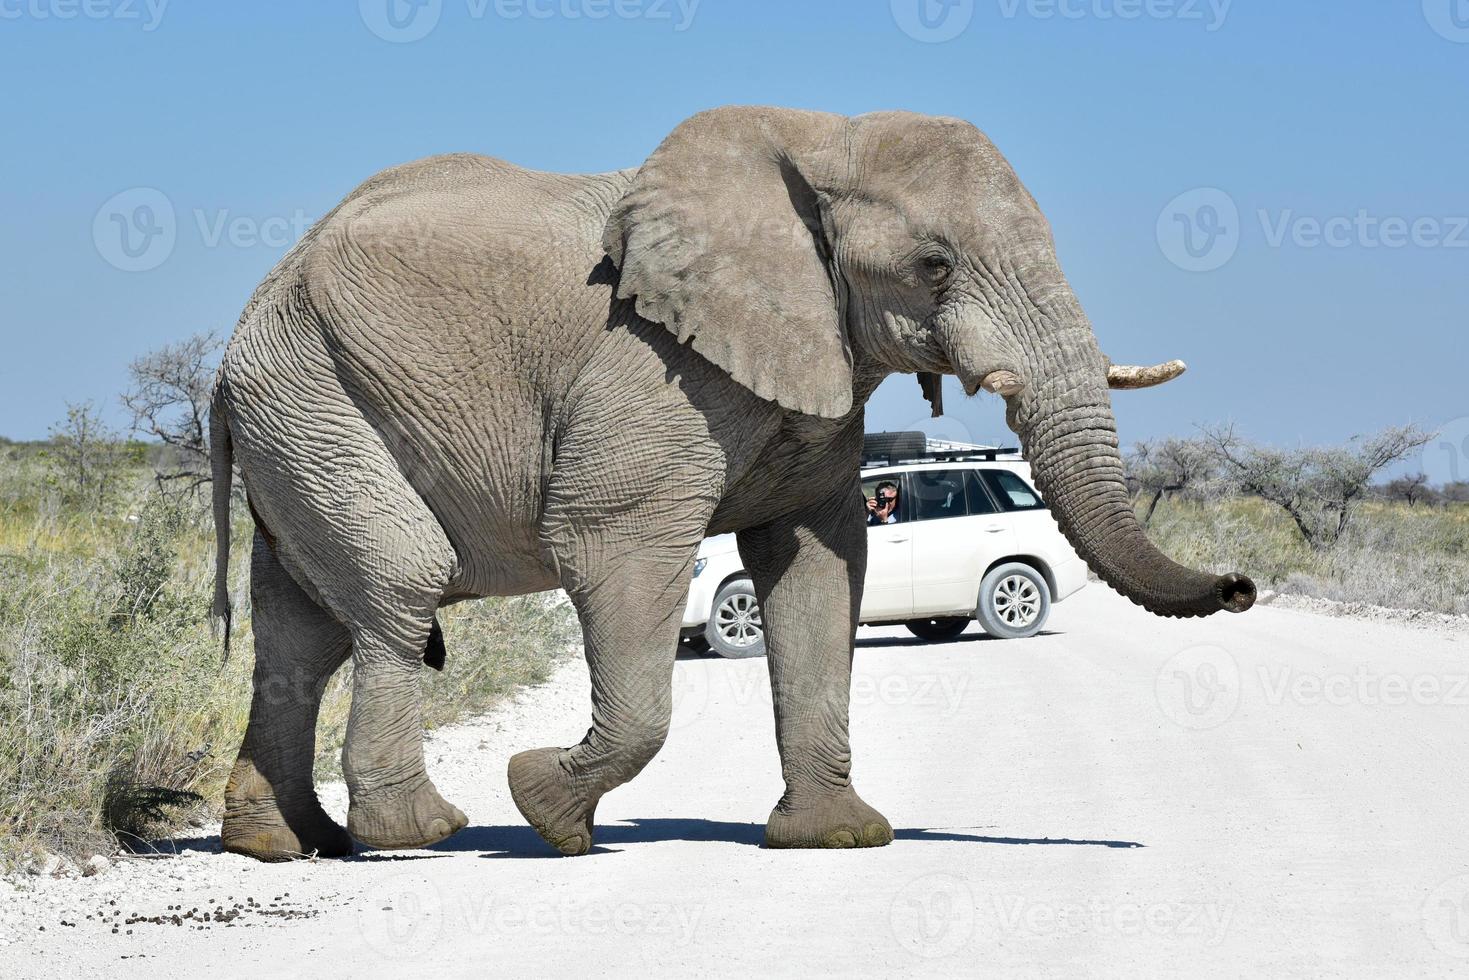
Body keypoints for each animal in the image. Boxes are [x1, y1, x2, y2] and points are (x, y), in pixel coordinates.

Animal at [213, 103, 1257, 863]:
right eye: (933, 264)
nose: (1243, 586)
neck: (820, 140)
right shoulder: (651, 366)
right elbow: (615, 544)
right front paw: (544, 808)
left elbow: (816, 566)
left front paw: (838, 838)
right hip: (308, 390)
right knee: (397, 583)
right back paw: (419, 833)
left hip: (296, 412)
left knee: (302, 631)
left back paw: (283, 845)